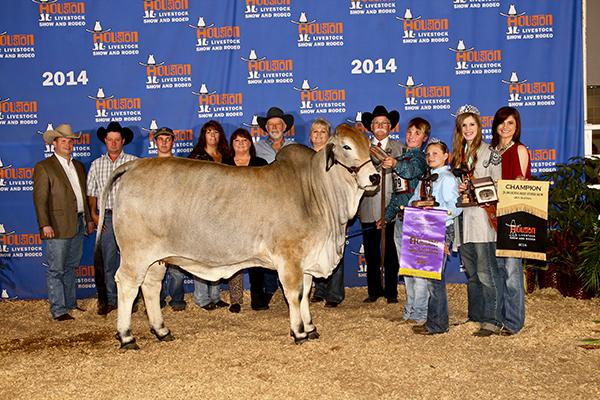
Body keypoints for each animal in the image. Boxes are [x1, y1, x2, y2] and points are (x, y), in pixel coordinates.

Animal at [98, 123, 380, 348]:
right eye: (346, 146)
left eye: (368, 145)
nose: (375, 176)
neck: (314, 191)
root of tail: (135, 164)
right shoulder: (288, 258)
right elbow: (294, 294)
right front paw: (299, 331)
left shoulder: (308, 259)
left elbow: (307, 292)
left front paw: (311, 327)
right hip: (136, 253)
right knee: (127, 284)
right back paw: (126, 336)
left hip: (157, 258)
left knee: (150, 286)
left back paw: (161, 330)